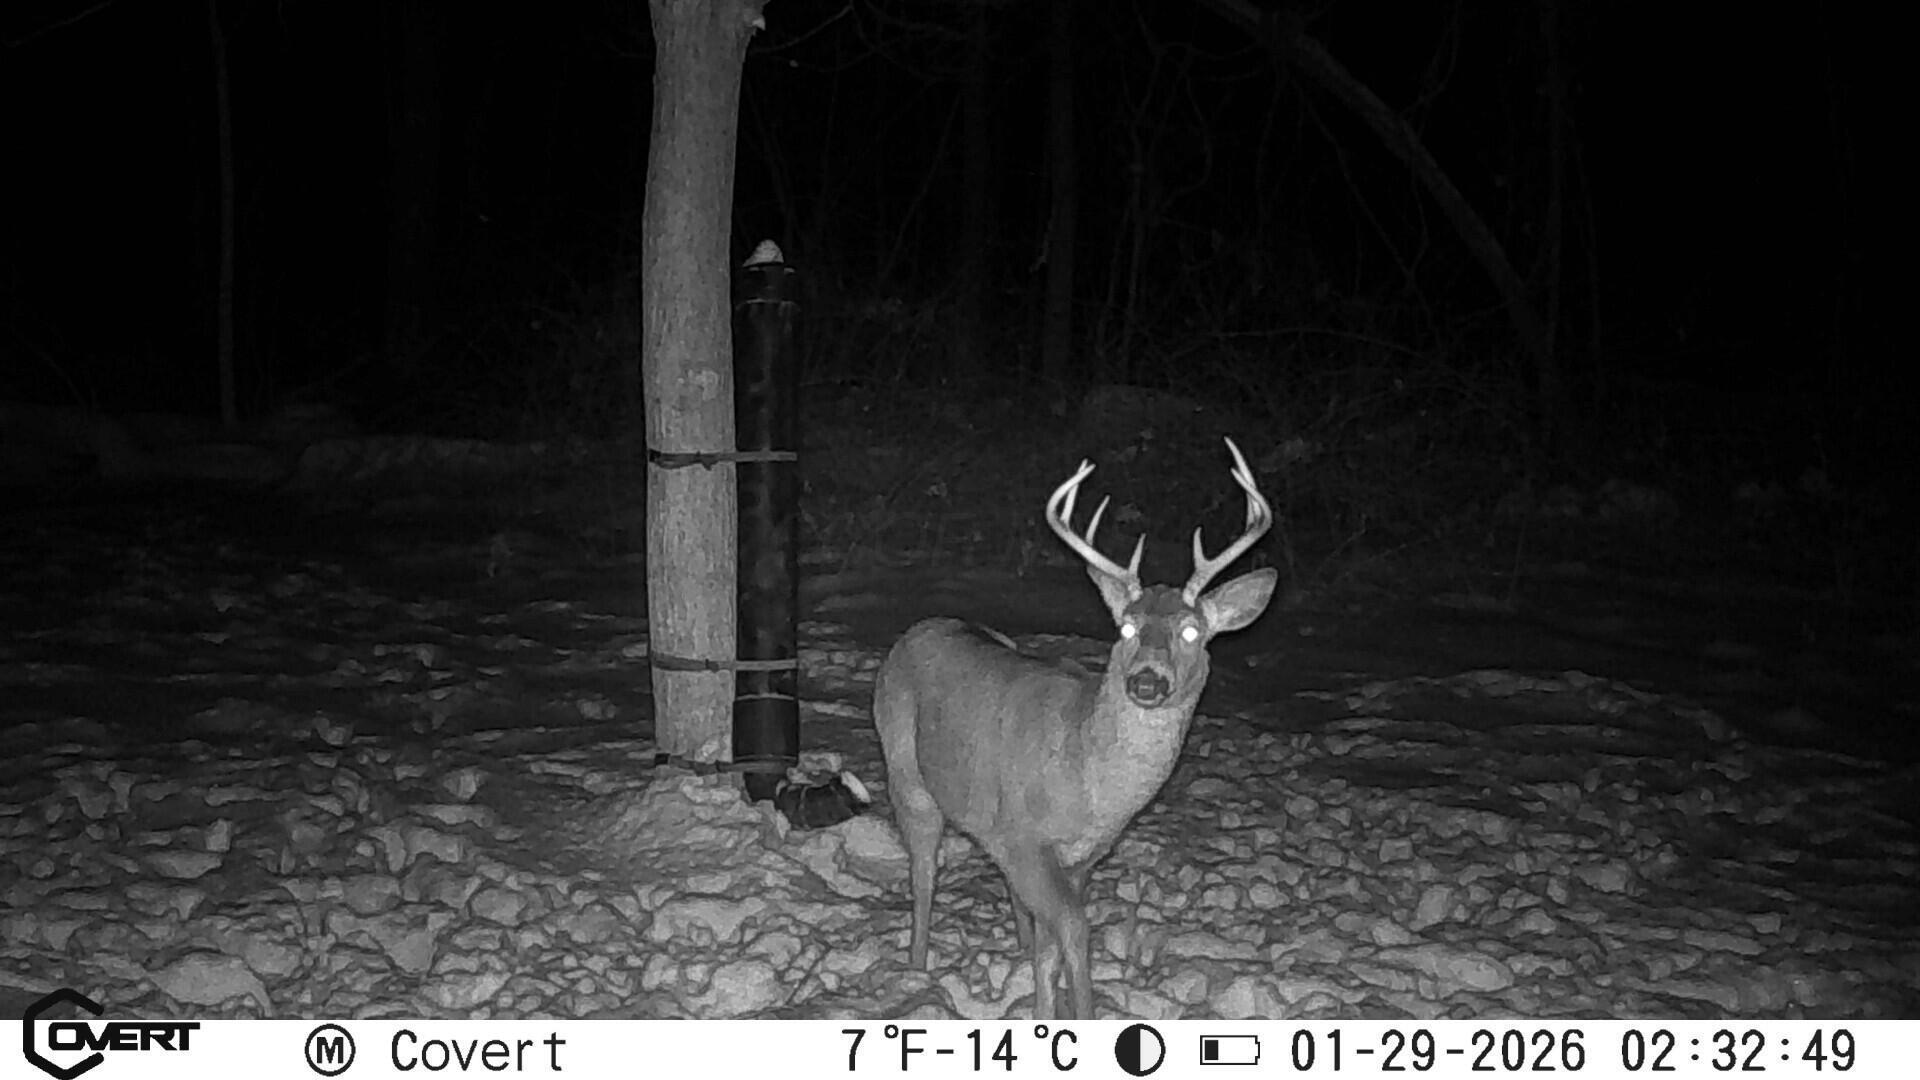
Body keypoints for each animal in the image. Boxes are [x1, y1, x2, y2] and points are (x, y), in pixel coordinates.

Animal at [871, 438, 1277, 1020]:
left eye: (1192, 632)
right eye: (1125, 627)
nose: (1146, 681)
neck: (1088, 781)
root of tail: (922, 626)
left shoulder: (1081, 856)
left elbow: (1050, 949)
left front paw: (1044, 1009)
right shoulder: (1022, 836)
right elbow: (1074, 930)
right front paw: (1081, 1014)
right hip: (906, 771)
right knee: (924, 873)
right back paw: (916, 970)